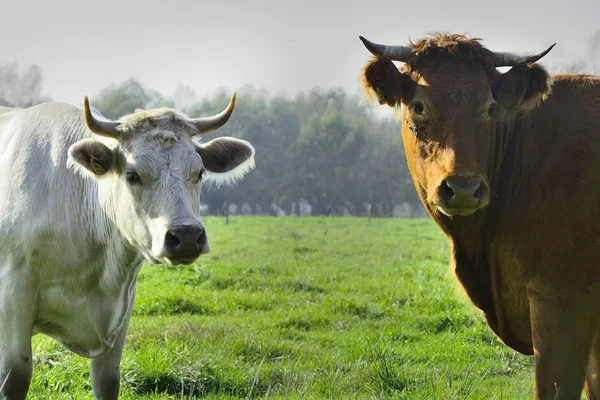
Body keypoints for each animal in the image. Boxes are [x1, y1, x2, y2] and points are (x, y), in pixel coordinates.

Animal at [0, 92, 255, 398]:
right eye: (132, 175)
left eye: (200, 172)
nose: (187, 236)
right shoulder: (14, 295)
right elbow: (16, 376)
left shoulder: (123, 303)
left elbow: (107, 379)